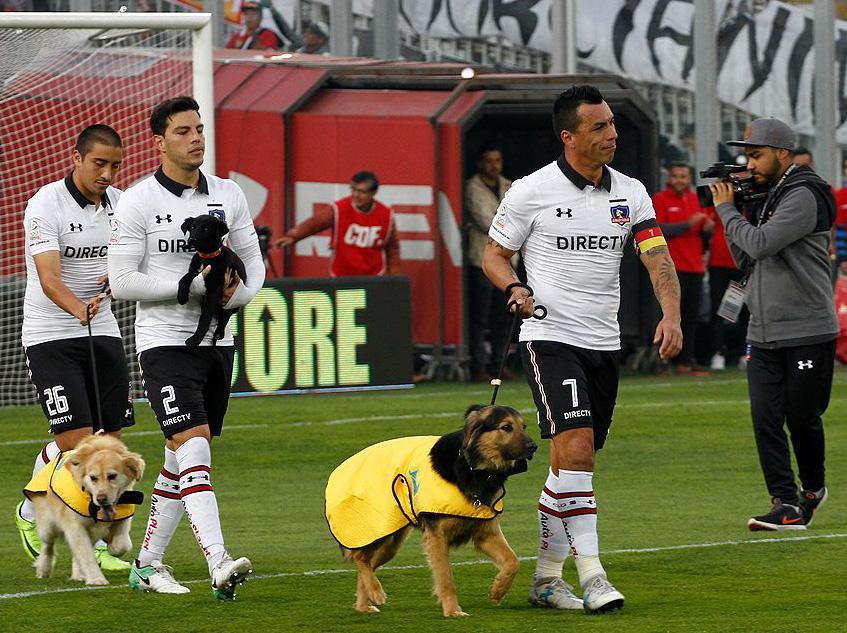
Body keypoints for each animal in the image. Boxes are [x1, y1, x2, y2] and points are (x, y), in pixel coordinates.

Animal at [25, 432, 146, 584]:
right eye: (93, 478)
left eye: (112, 476)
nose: (101, 499)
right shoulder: (74, 526)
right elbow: (86, 554)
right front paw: (96, 578)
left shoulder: (123, 518)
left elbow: (122, 544)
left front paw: (111, 546)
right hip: (47, 526)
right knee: (48, 545)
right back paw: (43, 568)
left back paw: (78, 574)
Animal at [176, 216, 247, 346]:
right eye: (192, 227)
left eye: (206, 229)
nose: (192, 239)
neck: (207, 257)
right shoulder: (195, 272)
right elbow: (184, 278)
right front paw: (182, 296)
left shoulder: (214, 289)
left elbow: (204, 317)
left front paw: (196, 339)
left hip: (230, 304)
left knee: (224, 317)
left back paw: (219, 333)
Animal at [324, 404, 536, 616]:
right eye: (506, 427)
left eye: (523, 426)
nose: (534, 447)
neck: (473, 468)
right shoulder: (437, 537)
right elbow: (445, 578)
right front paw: (452, 611)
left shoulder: (485, 533)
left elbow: (513, 561)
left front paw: (498, 590)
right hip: (377, 530)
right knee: (359, 558)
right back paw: (375, 592)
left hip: (392, 540)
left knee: (366, 564)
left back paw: (364, 604)